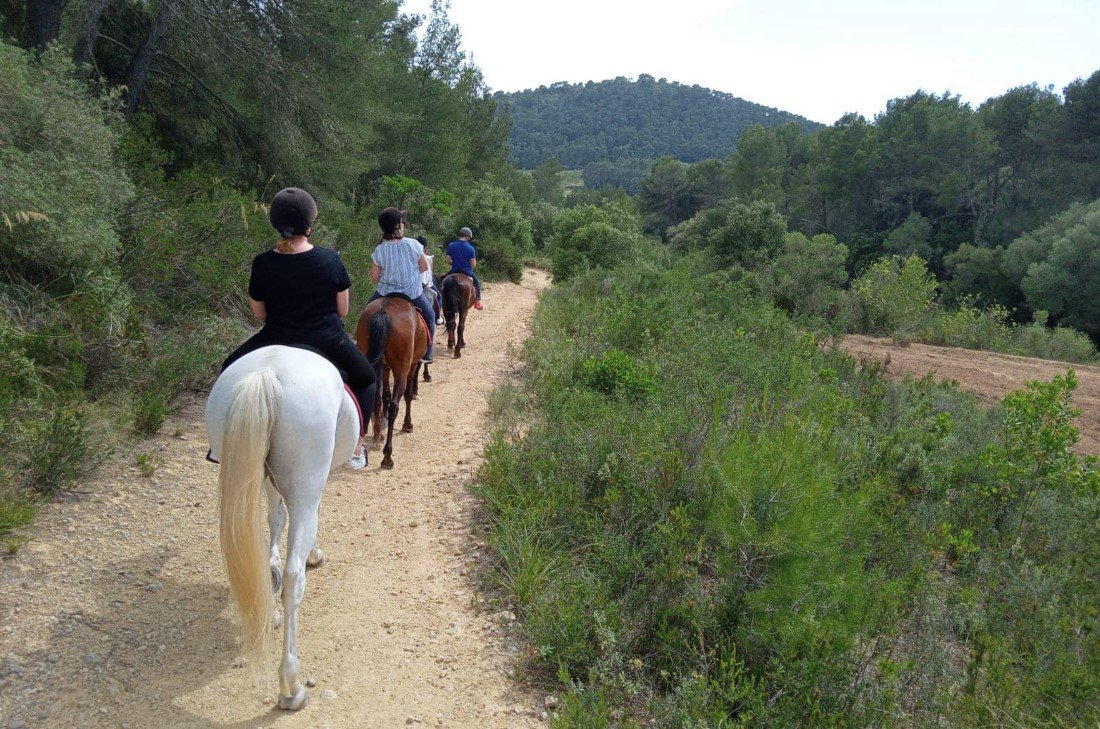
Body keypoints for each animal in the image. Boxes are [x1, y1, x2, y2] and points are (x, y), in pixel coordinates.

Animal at [205, 345, 359, 710]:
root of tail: (266, 374)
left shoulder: (268, 481)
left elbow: (275, 520)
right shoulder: (312, 487)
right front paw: (315, 553)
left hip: (249, 476)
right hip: (304, 483)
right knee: (293, 577)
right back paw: (291, 685)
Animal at [355, 296, 429, 469]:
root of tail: (383, 312)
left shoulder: (384, 367)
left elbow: (385, 397)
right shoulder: (411, 365)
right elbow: (408, 395)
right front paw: (407, 424)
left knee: (376, 398)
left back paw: (378, 435)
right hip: (401, 371)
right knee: (394, 406)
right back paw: (387, 457)